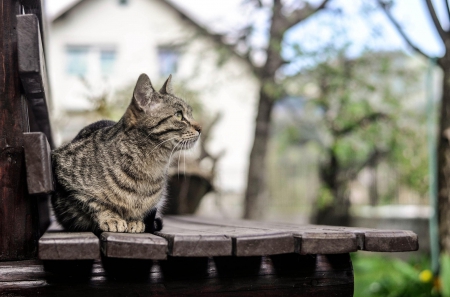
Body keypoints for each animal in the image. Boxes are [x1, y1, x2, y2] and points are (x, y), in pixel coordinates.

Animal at [50, 73, 202, 232]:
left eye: (191, 114)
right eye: (179, 115)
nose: (200, 128)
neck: (151, 168)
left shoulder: (154, 203)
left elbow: (143, 211)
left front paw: (135, 221)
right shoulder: (62, 169)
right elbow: (95, 203)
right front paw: (112, 218)